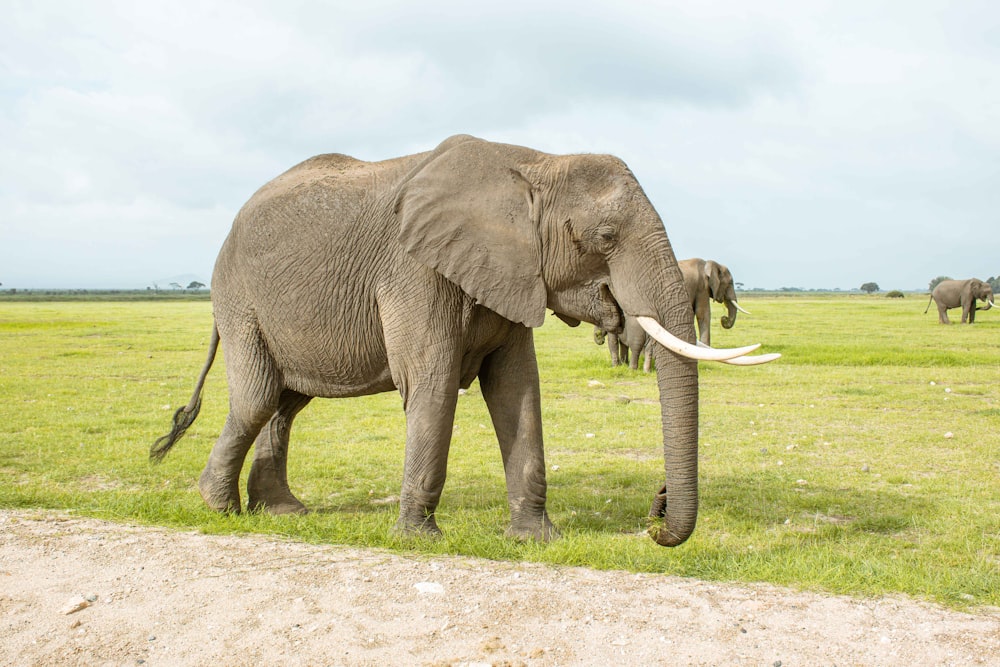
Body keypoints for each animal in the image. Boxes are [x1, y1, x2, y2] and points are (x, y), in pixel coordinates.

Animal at [152, 134, 776, 548]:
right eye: (604, 236)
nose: (657, 509)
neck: (534, 164)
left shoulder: (512, 274)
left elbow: (518, 390)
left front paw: (536, 540)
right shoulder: (415, 269)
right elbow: (430, 385)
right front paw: (418, 540)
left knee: (286, 403)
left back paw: (283, 514)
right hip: (240, 301)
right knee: (258, 397)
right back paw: (219, 508)